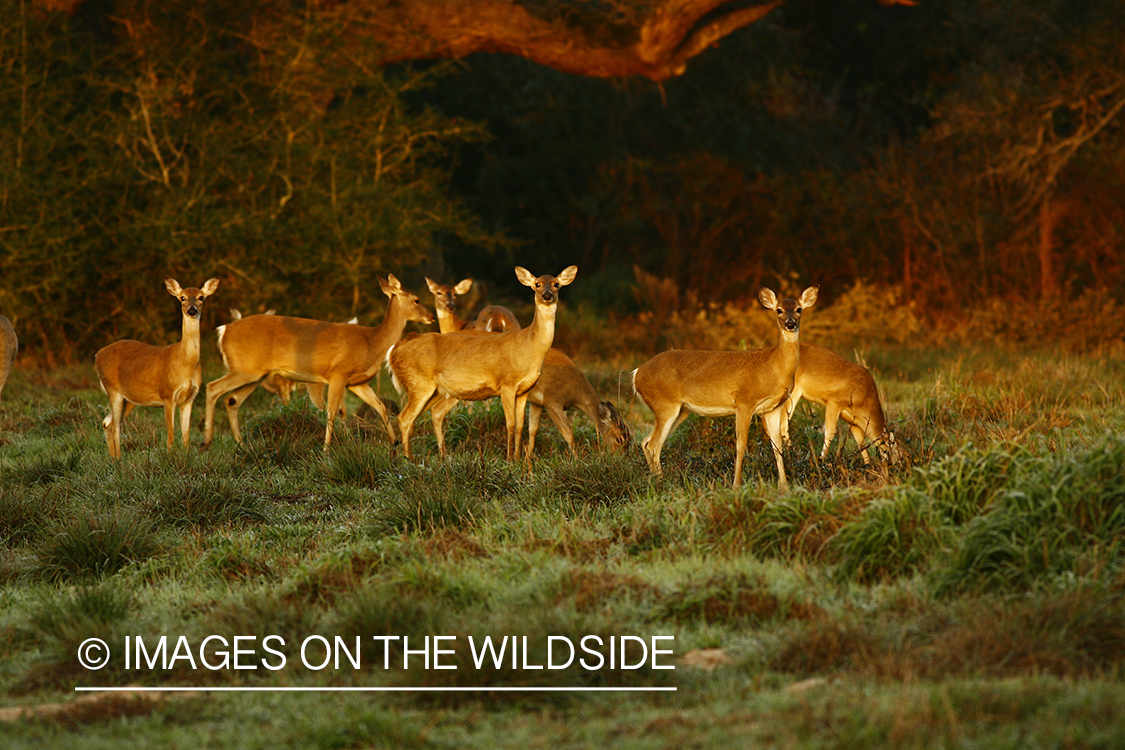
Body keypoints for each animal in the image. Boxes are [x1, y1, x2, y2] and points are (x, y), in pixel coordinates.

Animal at [95, 278, 222, 461]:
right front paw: (170, 460)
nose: (192, 310)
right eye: (182, 298)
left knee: (107, 422)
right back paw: (119, 460)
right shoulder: (167, 394)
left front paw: (186, 459)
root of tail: (97, 354)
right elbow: (170, 435)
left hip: (130, 399)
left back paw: (114, 459)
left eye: (201, 297)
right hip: (113, 389)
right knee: (114, 426)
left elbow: (186, 435)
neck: (185, 362)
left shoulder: (190, 397)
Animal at [200, 277, 432, 449]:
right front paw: (327, 448)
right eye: (417, 300)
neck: (372, 341)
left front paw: (394, 441)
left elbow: (380, 406)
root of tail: (223, 330)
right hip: (245, 370)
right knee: (212, 387)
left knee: (231, 400)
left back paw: (241, 445)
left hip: (254, 375)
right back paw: (207, 442)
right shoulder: (338, 374)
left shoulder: (356, 382)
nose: (430, 316)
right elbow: (331, 412)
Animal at [389, 266, 580, 461]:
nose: (547, 295)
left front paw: (519, 459)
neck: (528, 345)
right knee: (404, 418)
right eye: (537, 284)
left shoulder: (524, 390)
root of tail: (395, 349)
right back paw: (408, 460)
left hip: (437, 390)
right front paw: (509, 460)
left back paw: (435, 456)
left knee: (428, 413)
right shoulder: (507, 384)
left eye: (556, 284)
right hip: (419, 382)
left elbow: (520, 426)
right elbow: (510, 424)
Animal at [634, 284, 819, 490]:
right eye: (779, 310)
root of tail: (637, 373)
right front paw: (736, 485)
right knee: (653, 445)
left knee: (646, 442)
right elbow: (741, 444)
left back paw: (659, 482)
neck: (774, 366)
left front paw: (784, 487)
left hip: (679, 411)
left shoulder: (773, 408)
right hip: (664, 405)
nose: (790, 324)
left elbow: (777, 445)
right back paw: (662, 484)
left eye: (799, 309)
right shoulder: (744, 402)